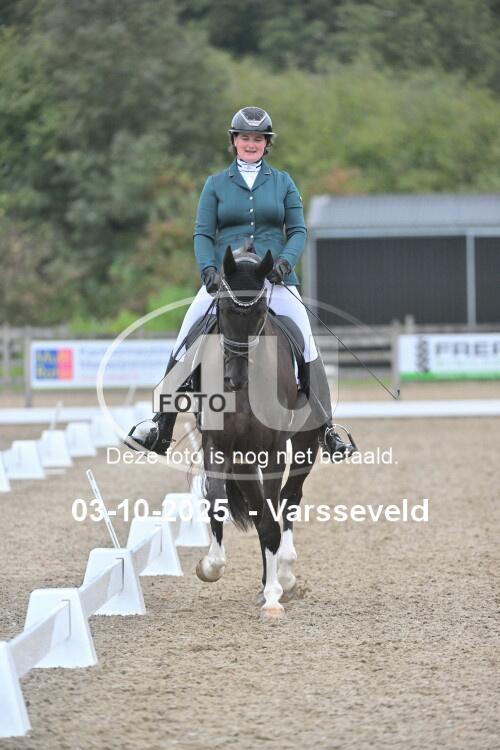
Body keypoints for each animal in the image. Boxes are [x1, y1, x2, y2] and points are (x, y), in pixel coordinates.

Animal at [195, 245, 321, 617]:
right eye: (222, 308)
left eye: (262, 311)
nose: (234, 378)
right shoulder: (216, 446)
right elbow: (216, 502)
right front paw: (210, 566)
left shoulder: (275, 450)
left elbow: (272, 518)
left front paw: (275, 594)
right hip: (244, 461)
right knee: (261, 508)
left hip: (305, 446)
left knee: (288, 500)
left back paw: (284, 575)